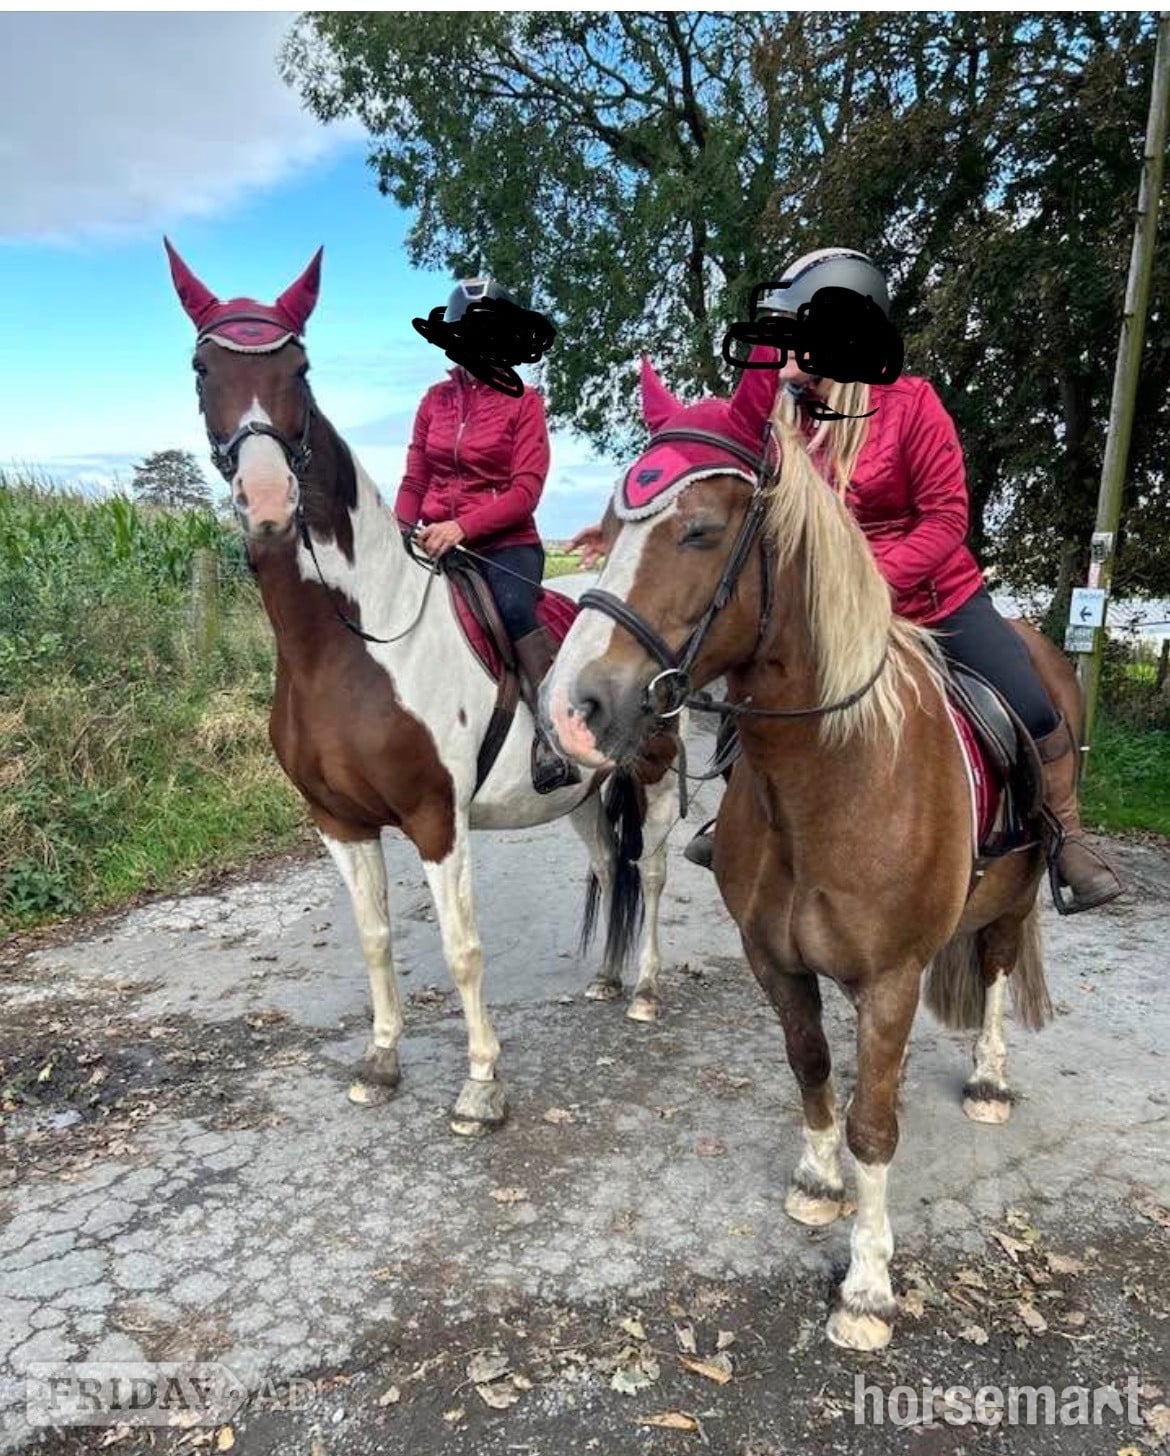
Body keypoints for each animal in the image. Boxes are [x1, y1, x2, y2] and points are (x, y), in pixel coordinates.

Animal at [165, 242, 681, 1134]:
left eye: (300, 368)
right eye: (203, 367)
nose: (266, 502)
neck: (350, 647)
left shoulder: (438, 820)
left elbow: (461, 949)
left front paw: (481, 1085)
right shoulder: (338, 822)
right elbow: (375, 937)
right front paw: (380, 1061)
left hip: (652, 779)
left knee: (647, 871)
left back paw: (645, 989)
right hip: (580, 793)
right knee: (605, 860)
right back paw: (609, 980)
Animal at [542, 358, 1074, 1350]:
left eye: (701, 530)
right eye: (607, 530)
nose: (570, 711)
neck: (835, 781)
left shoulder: (893, 980)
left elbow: (876, 1124)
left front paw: (866, 1285)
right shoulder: (776, 961)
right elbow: (815, 1071)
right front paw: (820, 1182)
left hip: (1019, 891)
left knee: (992, 964)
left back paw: (989, 1078)